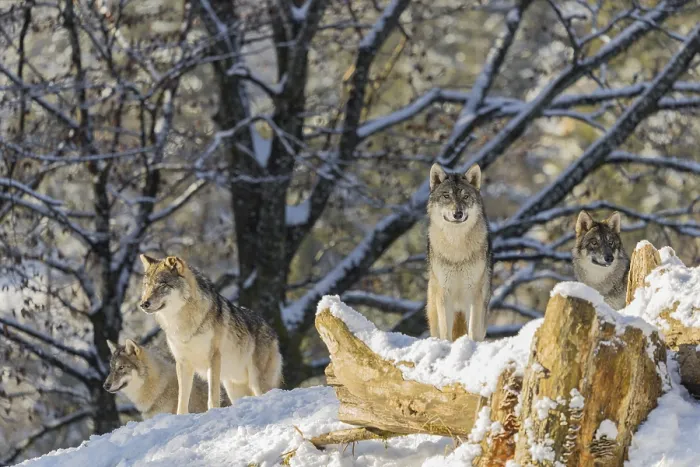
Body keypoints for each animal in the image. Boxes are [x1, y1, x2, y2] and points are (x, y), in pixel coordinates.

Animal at [139, 255, 282, 414]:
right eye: (146, 285)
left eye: (160, 285)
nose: (143, 304)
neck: (183, 323)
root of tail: (272, 330)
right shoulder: (182, 363)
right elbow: (182, 399)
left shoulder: (213, 358)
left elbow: (212, 395)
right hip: (234, 388)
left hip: (258, 383)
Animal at [426, 163, 492, 342]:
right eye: (446, 196)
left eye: (466, 197)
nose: (458, 213)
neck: (456, 246)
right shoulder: (444, 294)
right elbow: (445, 332)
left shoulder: (474, 294)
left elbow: (473, 330)